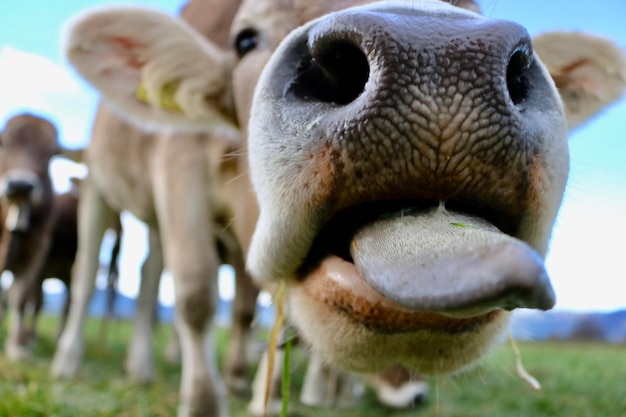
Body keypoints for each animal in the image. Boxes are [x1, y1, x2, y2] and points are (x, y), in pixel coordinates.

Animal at [59, 0, 624, 416]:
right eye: (244, 39)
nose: (438, 54)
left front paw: (284, 398)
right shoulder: (178, 166)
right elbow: (197, 294)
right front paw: (205, 404)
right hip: (100, 189)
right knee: (96, 274)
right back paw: (75, 360)